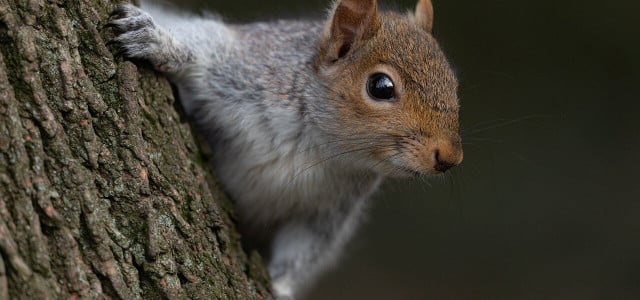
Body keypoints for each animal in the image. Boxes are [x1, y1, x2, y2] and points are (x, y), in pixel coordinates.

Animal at [109, 0, 460, 298]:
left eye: (454, 84)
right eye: (381, 87)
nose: (450, 157)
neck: (316, 143)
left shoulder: (326, 212)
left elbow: (302, 252)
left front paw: (280, 288)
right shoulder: (246, 65)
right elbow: (203, 46)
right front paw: (158, 40)